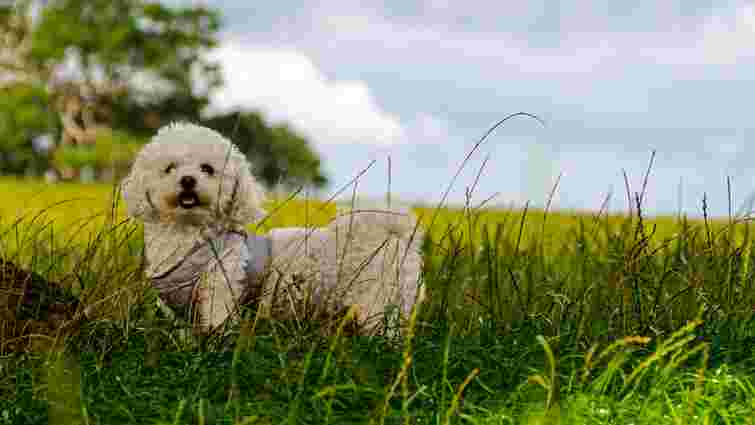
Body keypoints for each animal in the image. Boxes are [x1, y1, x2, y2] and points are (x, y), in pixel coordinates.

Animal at [121, 122, 424, 334]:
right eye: (169, 168)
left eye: (207, 169)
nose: (187, 180)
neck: (190, 233)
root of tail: (392, 232)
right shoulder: (178, 311)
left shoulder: (222, 285)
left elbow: (217, 323)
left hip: (378, 301)